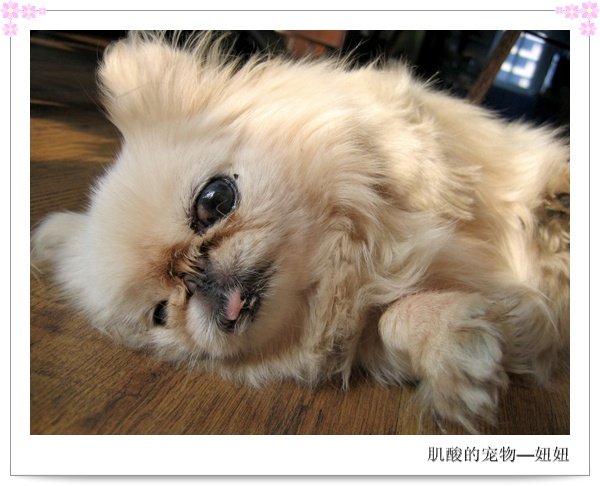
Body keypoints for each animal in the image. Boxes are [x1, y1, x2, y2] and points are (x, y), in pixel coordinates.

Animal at [31, 32, 570, 433]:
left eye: (215, 199)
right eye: (161, 314)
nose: (194, 274)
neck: (342, 255)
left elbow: (410, 145)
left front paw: (431, 186)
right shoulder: (368, 321)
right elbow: (394, 318)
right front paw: (454, 352)